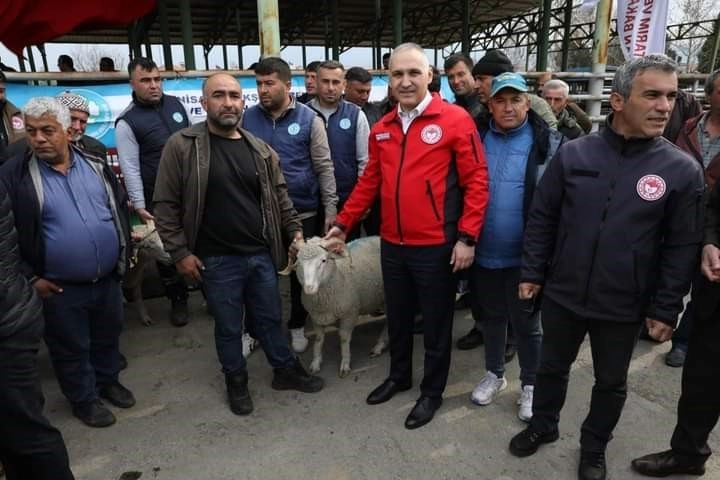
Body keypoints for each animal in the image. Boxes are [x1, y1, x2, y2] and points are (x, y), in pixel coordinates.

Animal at [282, 236, 388, 378]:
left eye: (323, 260)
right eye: (298, 263)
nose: (309, 288)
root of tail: (378, 237)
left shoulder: (349, 314)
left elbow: (344, 339)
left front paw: (345, 363)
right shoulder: (316, 317)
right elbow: (319, 340)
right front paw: (316, 362)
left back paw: (379, 346)